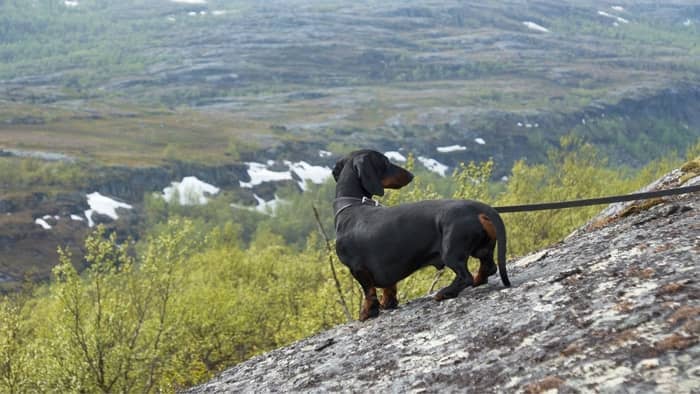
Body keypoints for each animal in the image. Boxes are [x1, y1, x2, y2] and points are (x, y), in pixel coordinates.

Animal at [334, 149, 508, 320]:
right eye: (385, 162)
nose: (411, 175)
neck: (353, 205)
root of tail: (478, 207)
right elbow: (389, 287)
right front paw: (387, 304)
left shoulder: (358, 268)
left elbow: (369, 292)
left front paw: (367, 313)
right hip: (482, 248)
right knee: (488, 266)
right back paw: (477, 281)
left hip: (451, 251)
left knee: (466, 276)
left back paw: (445, 293)